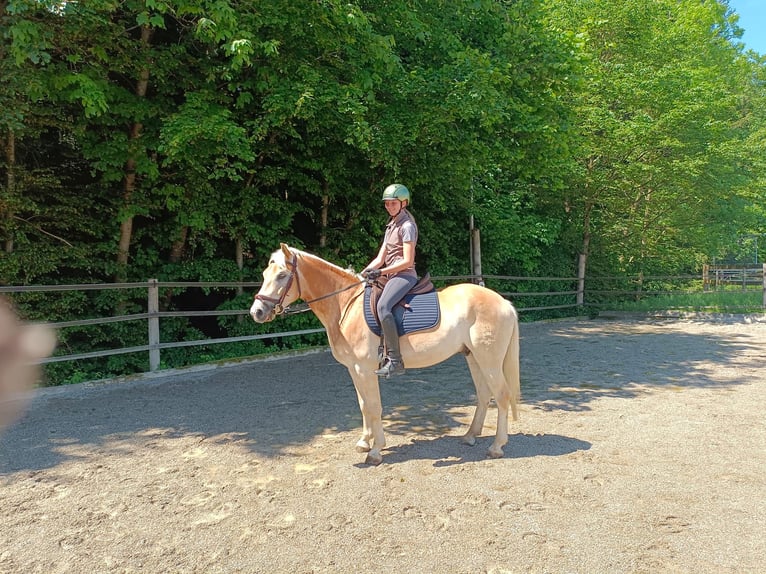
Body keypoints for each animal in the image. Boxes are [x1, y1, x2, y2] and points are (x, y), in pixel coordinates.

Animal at [252, 245, 520, 466]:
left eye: (282, 276)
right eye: (265, 275)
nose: (257, 311)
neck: (345, 305)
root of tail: (503, 302)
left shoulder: (364, 369)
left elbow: (374, 407)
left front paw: (375, 451)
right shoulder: (354, 370)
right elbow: (363, 405)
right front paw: (364, 442)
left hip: (489, 360)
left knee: (502, 395)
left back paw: (496, 447)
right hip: (473, 357)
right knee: (484, 395)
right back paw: (470, 436)